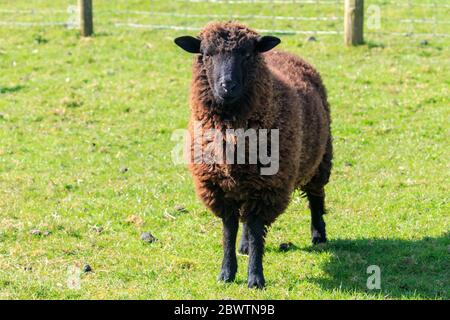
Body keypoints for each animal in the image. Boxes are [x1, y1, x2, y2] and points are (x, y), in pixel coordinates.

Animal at [174, 21, 332, 288]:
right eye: (206, 54)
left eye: (247, 54)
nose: (227, 86)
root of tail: (283, 52)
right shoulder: (219, 187)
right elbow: (229, 231)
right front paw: (227, 272)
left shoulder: (268, 187)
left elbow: (258, 231)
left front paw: (256, 278)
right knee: (245, 219)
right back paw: (244, 245)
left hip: (320, 158)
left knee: (315, 196)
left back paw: (319, 234)